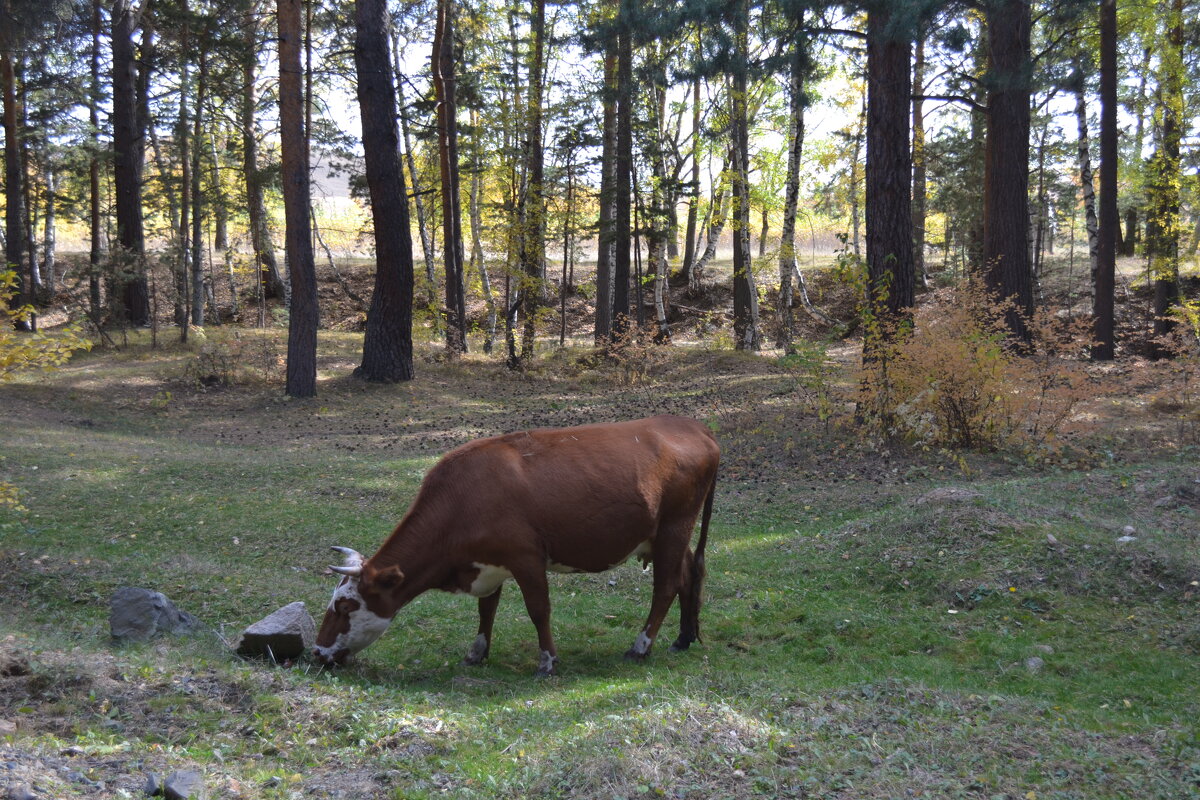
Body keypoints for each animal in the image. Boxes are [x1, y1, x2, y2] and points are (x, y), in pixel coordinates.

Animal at [314, 419, 715, 676]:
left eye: (345, 607)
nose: (317, 652)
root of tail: (693, 425)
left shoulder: (527, 558)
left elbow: (539, 610)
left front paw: (548, 662)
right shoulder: (489, 563)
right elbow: (485, 610)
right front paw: (476, 653)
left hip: (674, 526)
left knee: (665, 587)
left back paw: (640, 647)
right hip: (666, 535)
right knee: (688, 575)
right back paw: (682, 639)